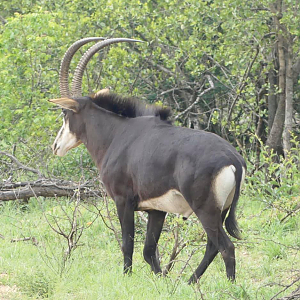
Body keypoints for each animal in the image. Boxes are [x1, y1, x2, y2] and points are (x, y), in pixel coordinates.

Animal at [49, 37, 246, 284]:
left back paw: (227, 285)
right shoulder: (156, 210)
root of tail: (234, 160)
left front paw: (126, 277)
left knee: (226, 247)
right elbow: (149, 251)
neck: (117, 134)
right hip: (220, 210)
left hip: (205, 209)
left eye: (65, 113)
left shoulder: (123, 201)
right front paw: (162, 280)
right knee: (212, 246)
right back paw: (189, 282)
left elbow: (128, 244)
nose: (56, 146)